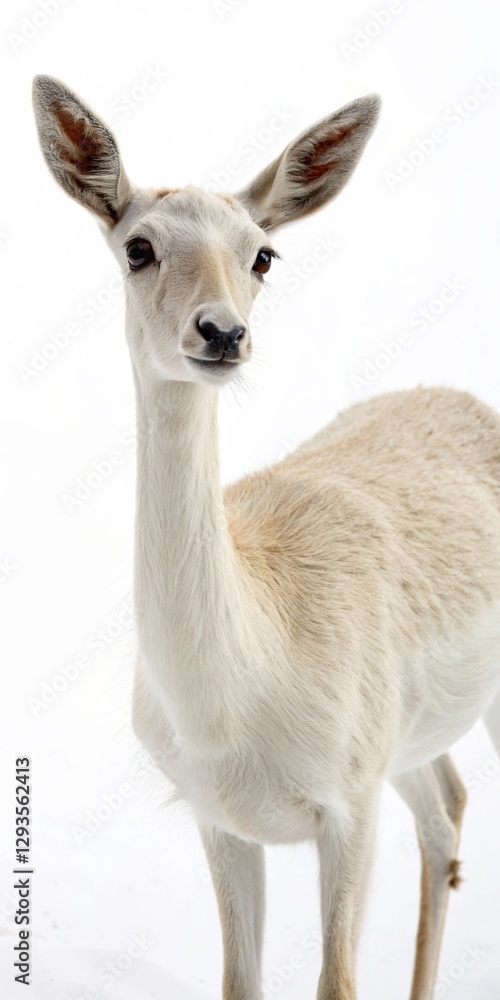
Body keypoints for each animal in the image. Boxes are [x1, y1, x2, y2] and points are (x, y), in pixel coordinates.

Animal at [32, 74, 500, 1000]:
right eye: (138, 246)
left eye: (262, 255)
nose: (222, 333)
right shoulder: (221, 823)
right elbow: (238, 981)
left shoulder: (348, 812)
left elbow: (336, 983)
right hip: (409, 744)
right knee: (448, 806)